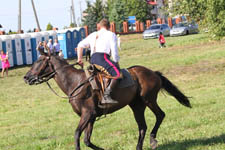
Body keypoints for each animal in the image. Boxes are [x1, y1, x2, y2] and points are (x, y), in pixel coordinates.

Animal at [23, 55, 191, 150]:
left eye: (38, 61)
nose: (26, 77)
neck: (75, 83)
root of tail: (153, 73)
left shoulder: (87, 114)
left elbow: (77, 135)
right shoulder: (90, 118)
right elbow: (87, 140)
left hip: (148, 99)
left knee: (160, 115)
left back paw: (153, 140)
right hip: (136, 106)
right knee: (142, 127)